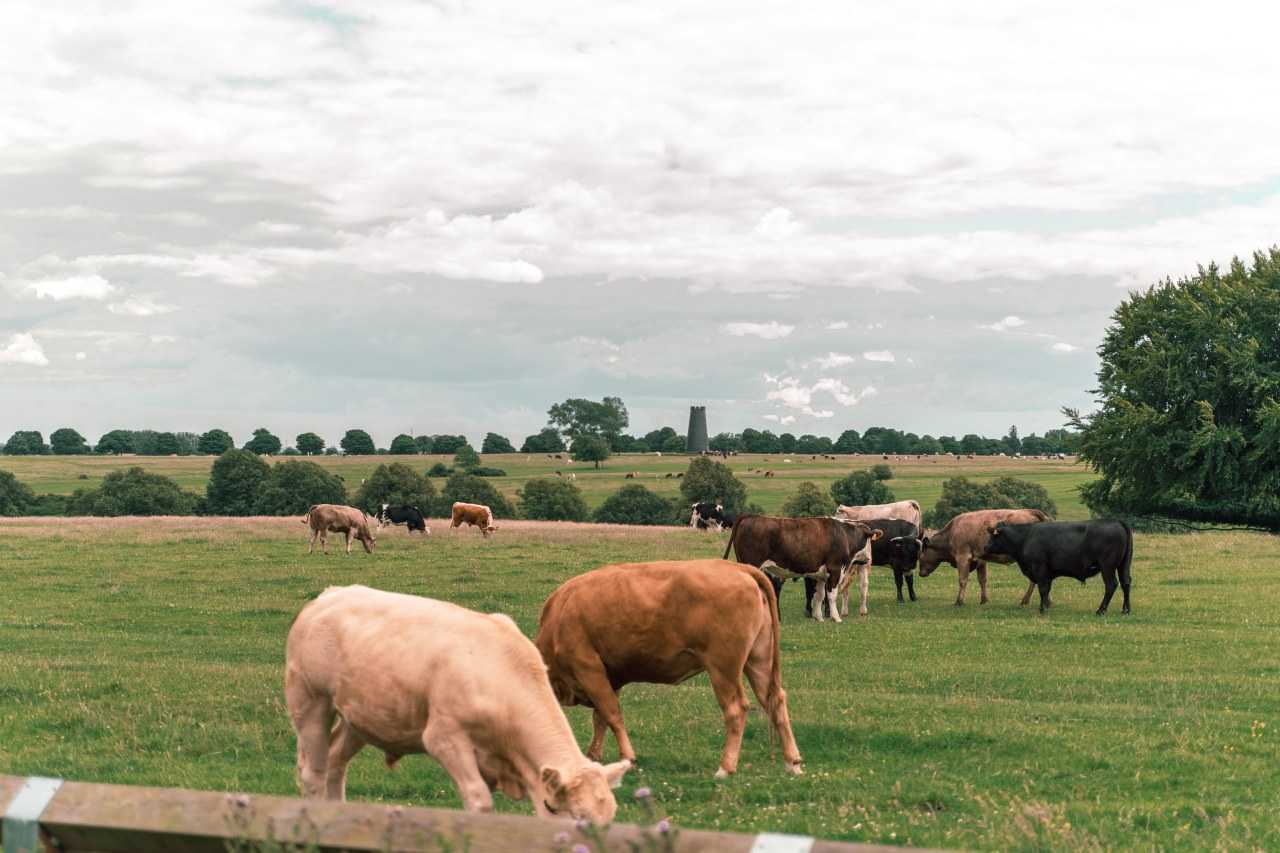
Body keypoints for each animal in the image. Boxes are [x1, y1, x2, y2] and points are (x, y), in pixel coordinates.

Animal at [286, 584, 634, 819]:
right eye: (576, 816)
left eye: (610, 818)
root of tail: (329, 596)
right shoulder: (444, 738)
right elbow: (478, 800)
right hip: (311, 703)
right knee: (313, 772)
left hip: (360, 717)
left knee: (335, 762)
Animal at [532, 558, 798, 778]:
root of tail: (739, 568)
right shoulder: (609, 676)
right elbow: (601, 719)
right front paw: (593, 756)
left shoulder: (588, 668)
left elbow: (611, 714)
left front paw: (628, 757)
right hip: (759, 661)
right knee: (775, 700)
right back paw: (792, 763)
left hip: (723, 668)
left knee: (736, 709)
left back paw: (725, 768)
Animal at [727, 512, 885, 617]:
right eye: (869, 540)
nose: (868, 560)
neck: (844, 535)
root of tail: (750, 517)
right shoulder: (835, 569)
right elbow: (831, 595)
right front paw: (835, 617)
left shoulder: (822, 574)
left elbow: (820, 595)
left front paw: (819, 616)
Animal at [921, 504, 1049, 604]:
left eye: (921, 555)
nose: (920, 573)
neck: (951, 532)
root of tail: (1029, 511)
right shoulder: (980, 560)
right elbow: (982, 580)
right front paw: (984, 600)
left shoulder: (962, 557)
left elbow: (962, 580)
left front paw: (959, 601)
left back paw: (1026, 600)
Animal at [983, 517, 1136, 612]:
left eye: (993, 536)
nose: (985, 547)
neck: (1026, 536)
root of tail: (1116, 521)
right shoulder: (1048, 572)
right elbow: (1047, 590)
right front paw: (1046, 605)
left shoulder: (1039, 567)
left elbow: (1042, 588)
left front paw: (1042, 609)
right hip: (1123, 565)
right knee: (1126, 583)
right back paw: (1125, 610)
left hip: (1107, 566)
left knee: (1111, 585)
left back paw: (1101, 610)